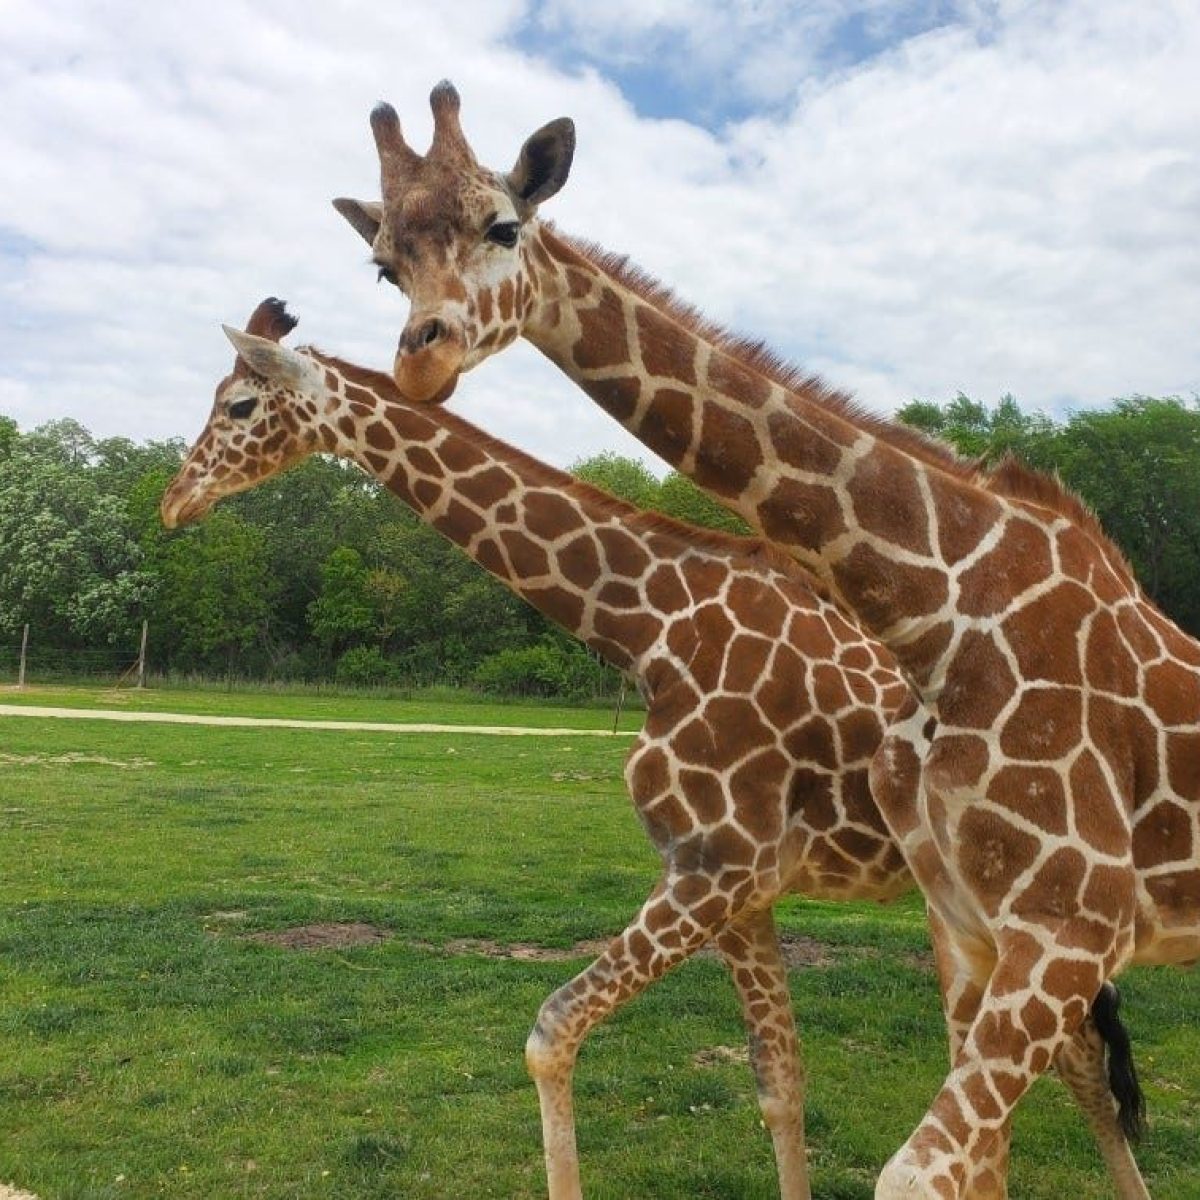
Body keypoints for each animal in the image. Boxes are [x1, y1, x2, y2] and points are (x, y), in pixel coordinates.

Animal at [162, 297, 926, 1200]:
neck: (653, 634)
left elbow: (551, 1033)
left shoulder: (717, 869)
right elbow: (779, 1082)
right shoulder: (741, 887)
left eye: (239, 405)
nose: (174, 499)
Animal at [333, 84, 1195, 1200]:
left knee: (1086, 1075)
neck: (950, 599)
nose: (421, 354)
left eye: (503, 225)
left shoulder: (1050, 918)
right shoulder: (886, 908)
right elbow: (784, 1084)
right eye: (384, 263)